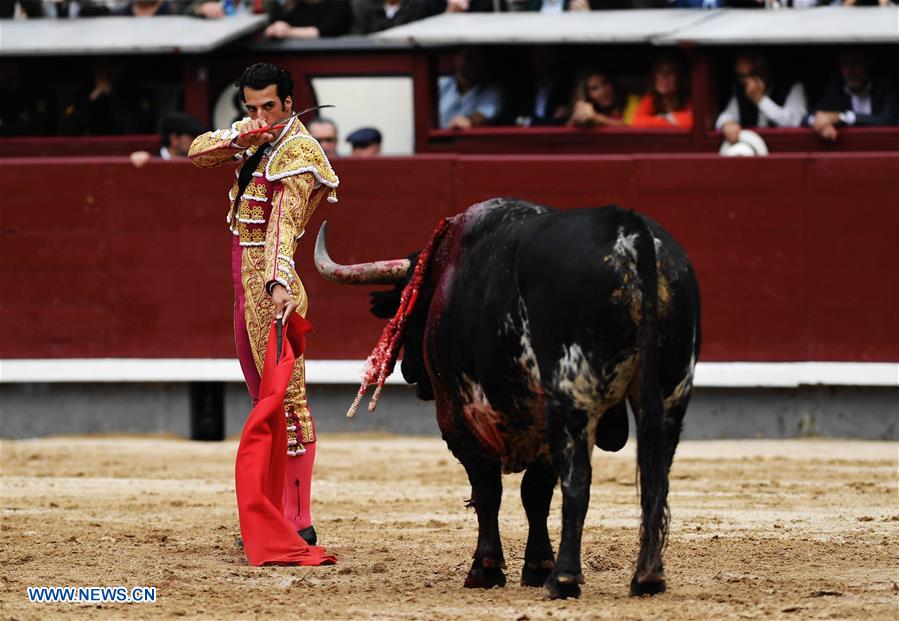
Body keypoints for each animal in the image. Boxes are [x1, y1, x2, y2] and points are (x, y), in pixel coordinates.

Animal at [316, 197, 704, 596]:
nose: (410, 372)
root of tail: (632, 235)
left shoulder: (457, 416)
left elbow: (488, 489)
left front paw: (486, 569)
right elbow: (536, 493)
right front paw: (536, 566)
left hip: (573, 395)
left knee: (579, 480)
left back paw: (565, 578)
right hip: (671, 395)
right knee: (657, 478)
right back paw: (647, 577)